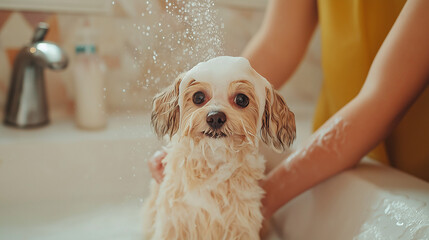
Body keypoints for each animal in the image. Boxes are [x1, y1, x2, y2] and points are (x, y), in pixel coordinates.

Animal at [142, 56, 296, 240]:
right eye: (198, 97)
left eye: (242, 99)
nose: (215, 117)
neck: (213, 162)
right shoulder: (176, 221)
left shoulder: (240, 223)